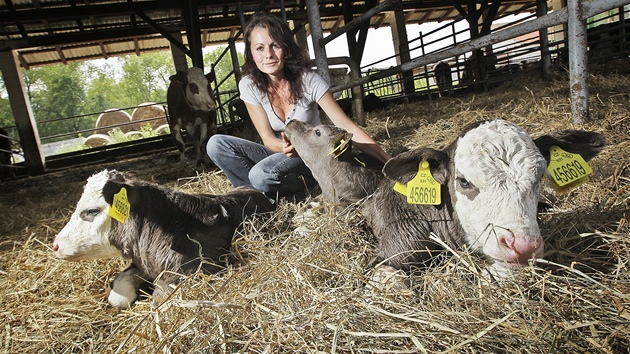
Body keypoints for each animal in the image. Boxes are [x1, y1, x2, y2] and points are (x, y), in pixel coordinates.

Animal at [51, 170, 274, 308]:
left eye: (91, 211)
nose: (56, 245)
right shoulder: (142, 263)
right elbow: (118, 293)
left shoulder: (189, 274)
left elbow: (158, 300)